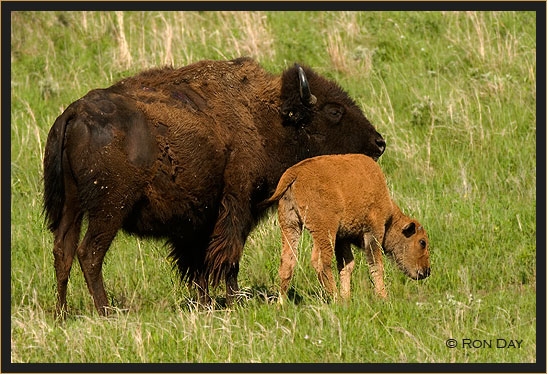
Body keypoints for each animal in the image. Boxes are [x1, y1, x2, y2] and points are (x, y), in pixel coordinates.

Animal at [42, 57, 386, 316]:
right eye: (334, 110)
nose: (379, 143)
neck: (265, 117)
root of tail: (74, 113)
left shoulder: (198, 220)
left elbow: (199, 263)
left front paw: (205, 304)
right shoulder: (236, 206)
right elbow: (228, 257)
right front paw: (233, 302)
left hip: (71, 206)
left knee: (63, 250)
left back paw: (61, 313)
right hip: (110, 209)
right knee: (89, 253)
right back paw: (106, 311)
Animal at [266, 153, 432, 300]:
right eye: (422, 242)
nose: (426, 271)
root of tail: (296, 172)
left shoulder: (342, 238)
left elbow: (347, 266)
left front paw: (347, 298)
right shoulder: (373, 232)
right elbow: (376, 265)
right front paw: (383, 297)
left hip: (290, 225)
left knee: (287, 261)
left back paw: (282, 304)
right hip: (324, 231)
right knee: (321, 262)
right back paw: (335, 299)